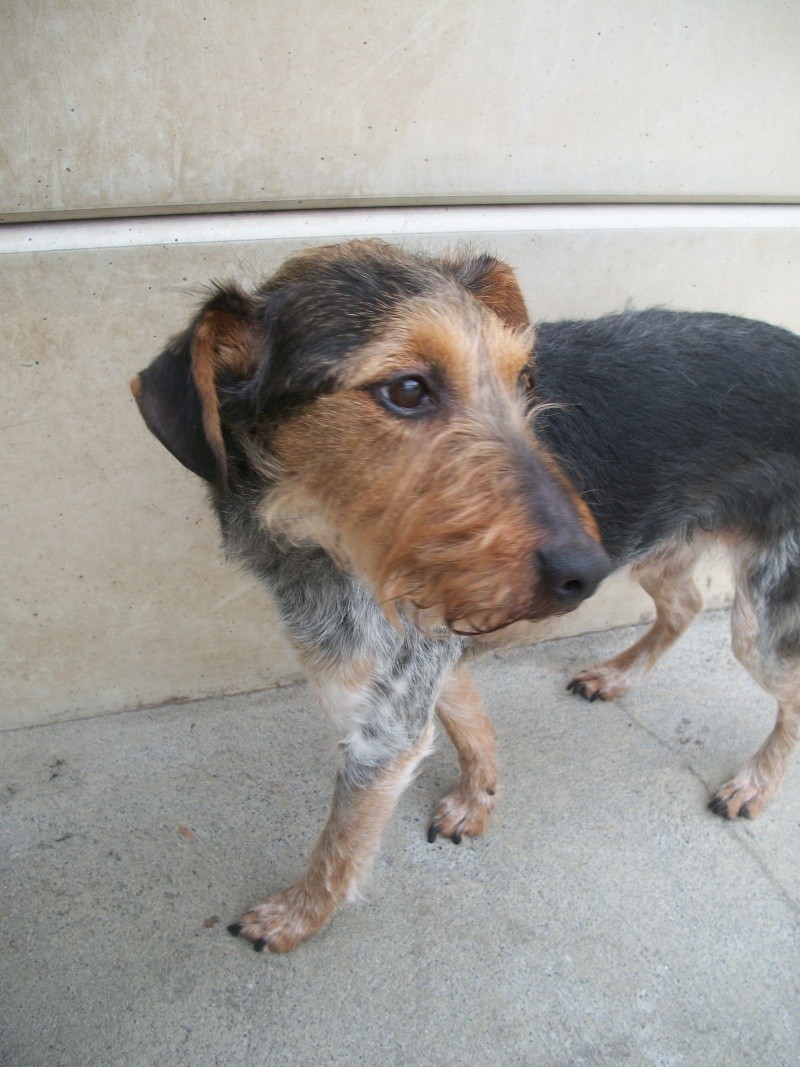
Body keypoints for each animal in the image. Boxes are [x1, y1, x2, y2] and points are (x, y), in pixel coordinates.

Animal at [131, 240, 800, 951]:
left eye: (522, 379)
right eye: (406, 389)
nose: (585, 574)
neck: (321, 539)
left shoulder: (384, 729)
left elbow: (340, 842)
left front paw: (296, 916)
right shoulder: (424, 658)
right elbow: (471, 727)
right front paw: (478, 802)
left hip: (763, 617)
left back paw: (753, 784)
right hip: (665, 546)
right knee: (684, 603)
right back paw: (617, 676)